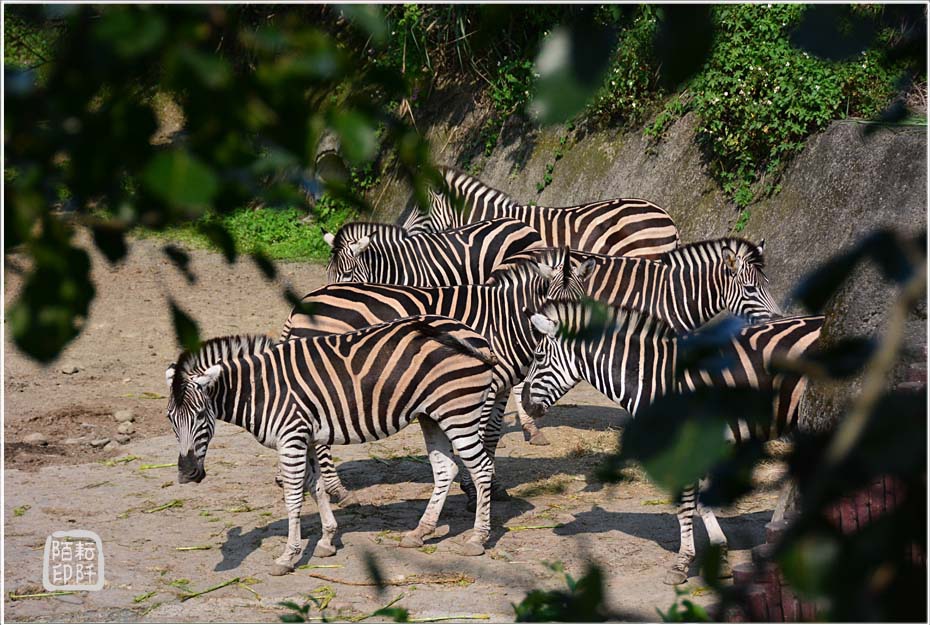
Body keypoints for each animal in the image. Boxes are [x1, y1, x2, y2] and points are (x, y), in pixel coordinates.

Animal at [167, 316, 500, 576]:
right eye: (170, 418)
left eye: (201, 415)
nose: (187, 474)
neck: (260, 389)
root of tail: (470, 331)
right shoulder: (307, 437)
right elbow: (316, 488)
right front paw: (327, 540)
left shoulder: (291, 437)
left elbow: (294, 497)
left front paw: (288, 556)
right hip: (432, 415)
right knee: (446, 469)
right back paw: (420, 532)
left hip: (457, 411)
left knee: (482, 468)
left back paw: (477, 539)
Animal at [520, 302, 820, 584]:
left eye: (538, 356)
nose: (524, 404)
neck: (655, 376)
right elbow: (700, 502)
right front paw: (721, 555)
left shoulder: (681, 444)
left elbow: (685, 505)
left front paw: (682, 564)